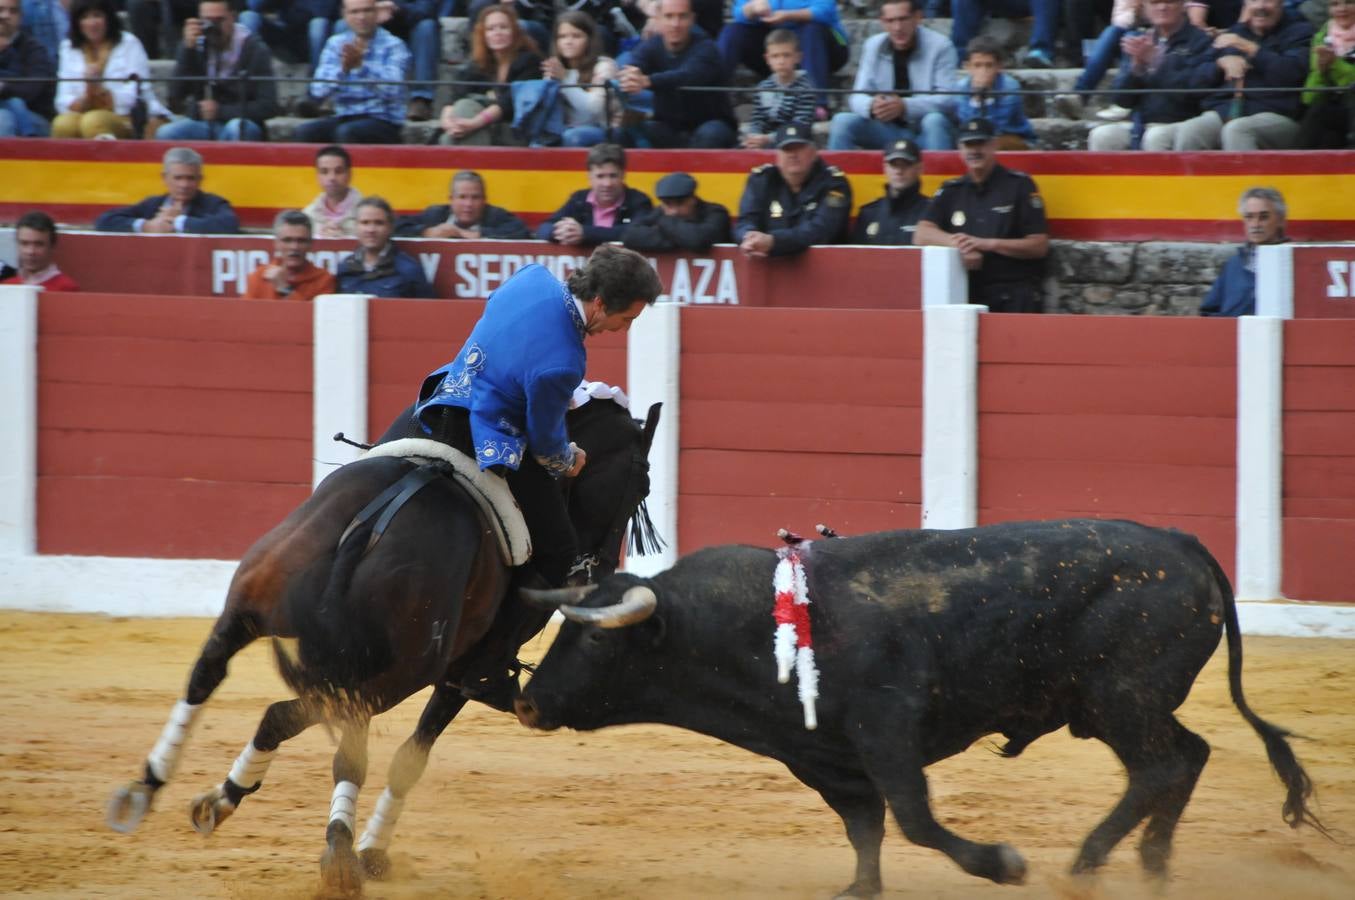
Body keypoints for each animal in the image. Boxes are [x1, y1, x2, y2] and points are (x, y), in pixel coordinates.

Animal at [107, 395, 661, 894]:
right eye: (643, 482)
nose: (600, 571)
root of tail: (371, 523)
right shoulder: (462, 674)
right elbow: (410, 758)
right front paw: (372, 850)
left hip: (249, 607)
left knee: (209, 676)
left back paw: (154, 789)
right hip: (401, 674)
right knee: (322, 731)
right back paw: (336, 854)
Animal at [514, 517, 1322, 894]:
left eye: (595, 641)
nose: (525, 704)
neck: (743, 624)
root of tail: (1179, 543)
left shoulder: (886, 731)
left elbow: (912, 819)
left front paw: (1001, 863)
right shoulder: (824, 755)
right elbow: (864, 829)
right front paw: (856, 891)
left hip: (1122, 699)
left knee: (1159, 768)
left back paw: (1087, 864)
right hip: (1121, 706)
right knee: (1187, 758)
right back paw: (1151, 868)